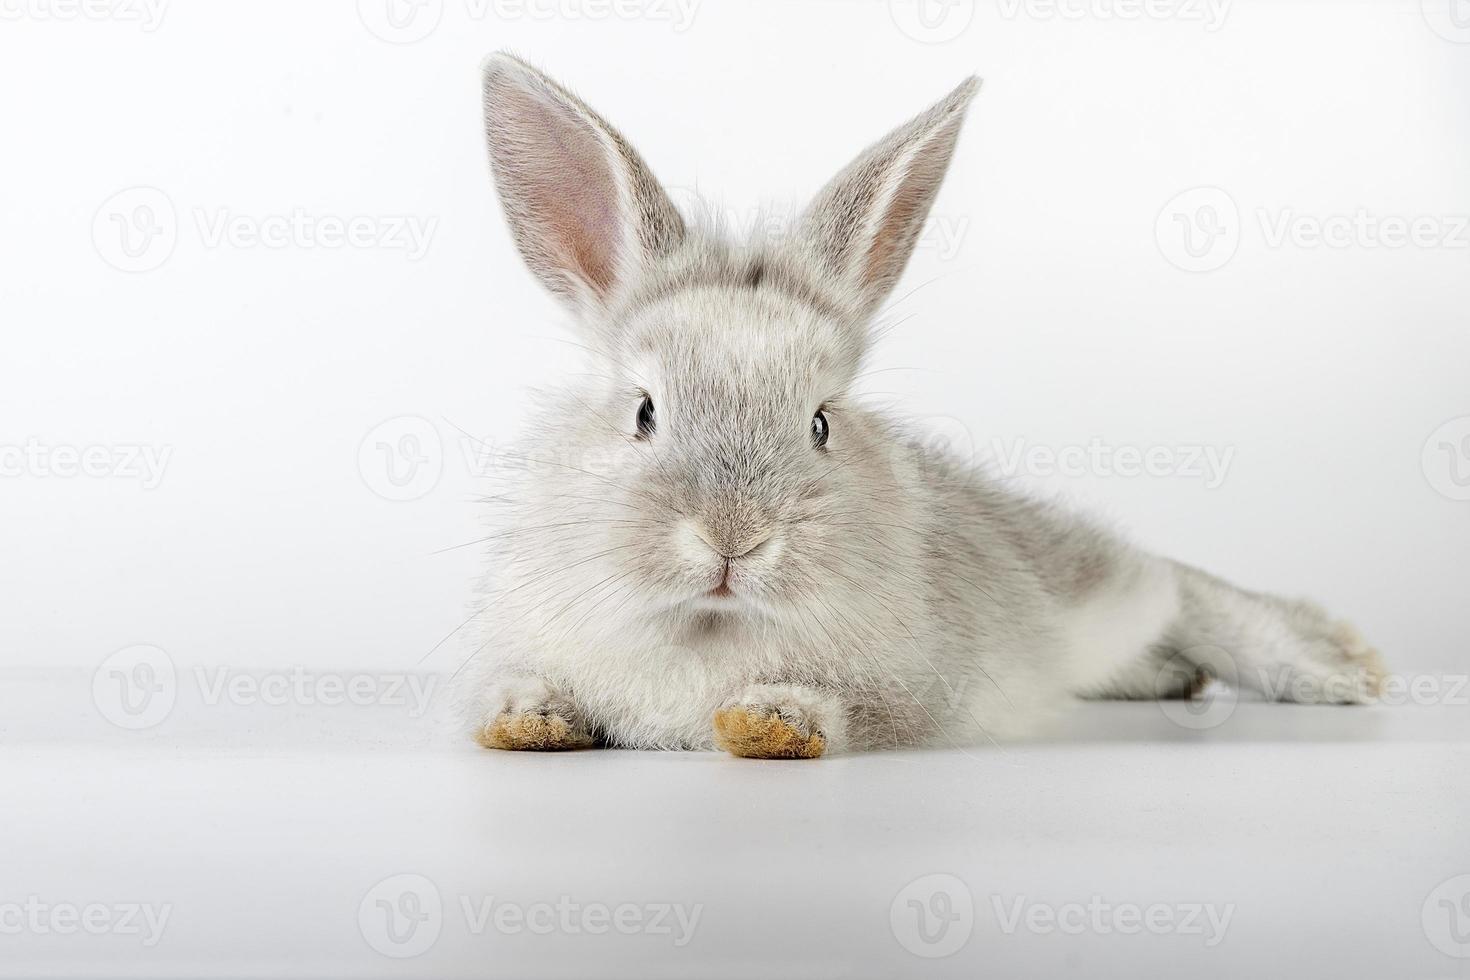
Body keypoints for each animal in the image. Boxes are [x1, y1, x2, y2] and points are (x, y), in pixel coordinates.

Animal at [455, 51, 1375, 758]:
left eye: (821, 422)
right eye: (644, 412)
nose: (733, 538)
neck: (710, 623)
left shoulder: (913, 693)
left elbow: (856, 713)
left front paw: (771, 722)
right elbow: (519, 690)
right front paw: (528, 721)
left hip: (1096, 584)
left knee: (1187, 589)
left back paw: (1344, 669)